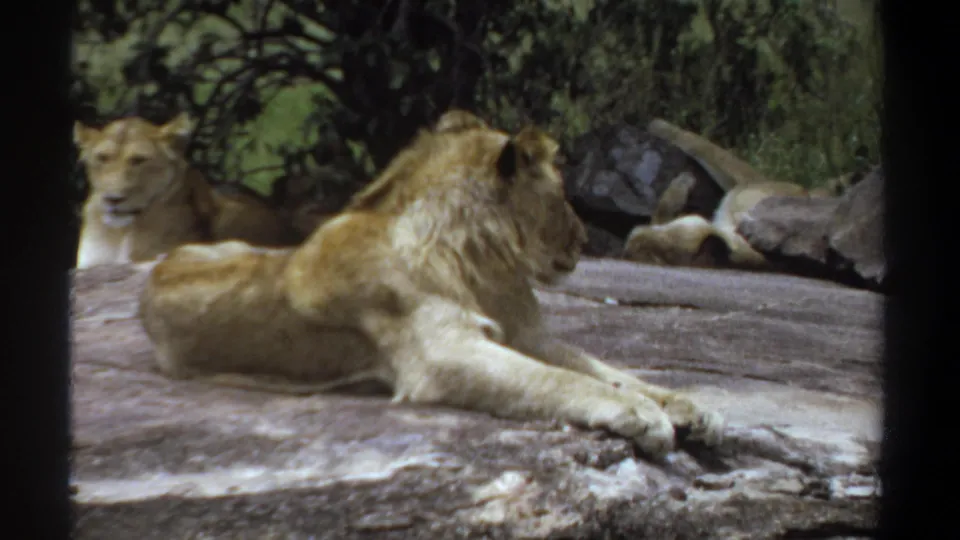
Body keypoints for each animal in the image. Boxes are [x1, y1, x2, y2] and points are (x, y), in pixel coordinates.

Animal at [138, 109, 725, 458]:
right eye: (563, 197)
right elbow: (560, 381)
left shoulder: (526, 335)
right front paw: (641, 416)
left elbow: (610, 370)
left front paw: (688, 406)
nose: (585, 239)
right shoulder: (441, 352)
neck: (480, 261)